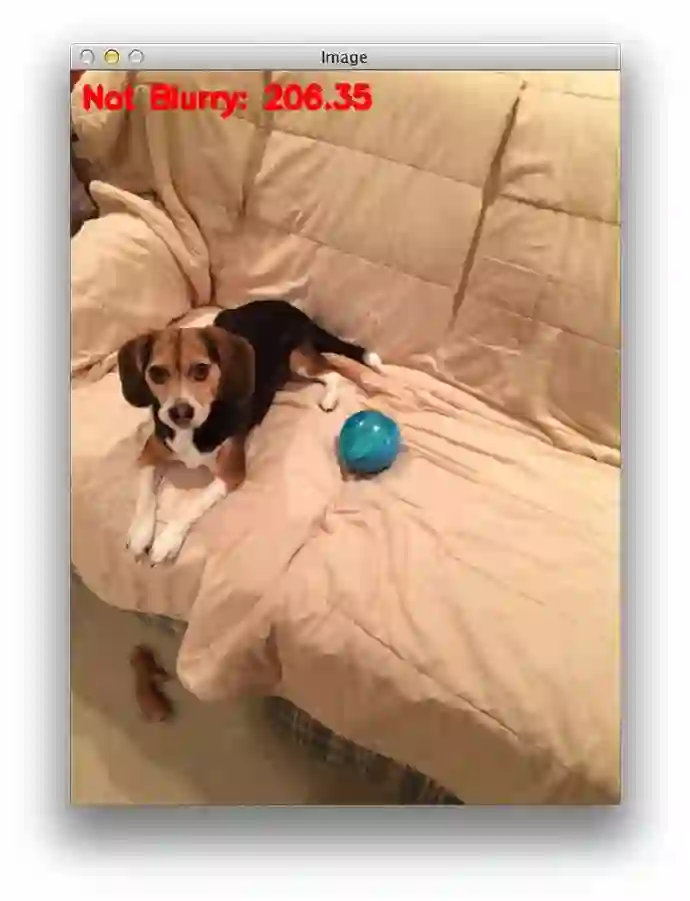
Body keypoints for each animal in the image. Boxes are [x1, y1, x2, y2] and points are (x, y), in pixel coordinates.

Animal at [117, 299, 383, 565]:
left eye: (201, 370)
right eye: (157, 373)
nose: (179, 412)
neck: (194, 430)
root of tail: (288, 306)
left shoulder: (231, 473)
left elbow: (192, 503)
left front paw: (167, 540)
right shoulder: (150, 451)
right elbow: (145, 493)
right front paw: (140, 533)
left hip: (297, 359)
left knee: (333, 372)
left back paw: (330, 398)